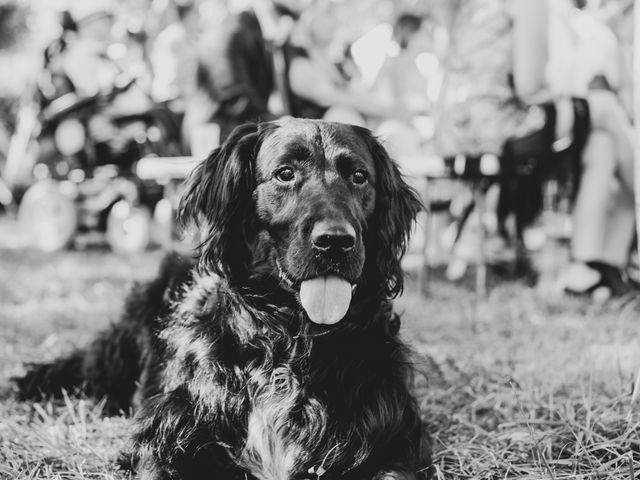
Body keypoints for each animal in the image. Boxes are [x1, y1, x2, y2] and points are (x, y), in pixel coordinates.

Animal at [15, 117, 432, 480]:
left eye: (359, 176)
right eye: (285, 173)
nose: (335, 241)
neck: (288, 341)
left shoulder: (391, 438)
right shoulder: (165, 437)